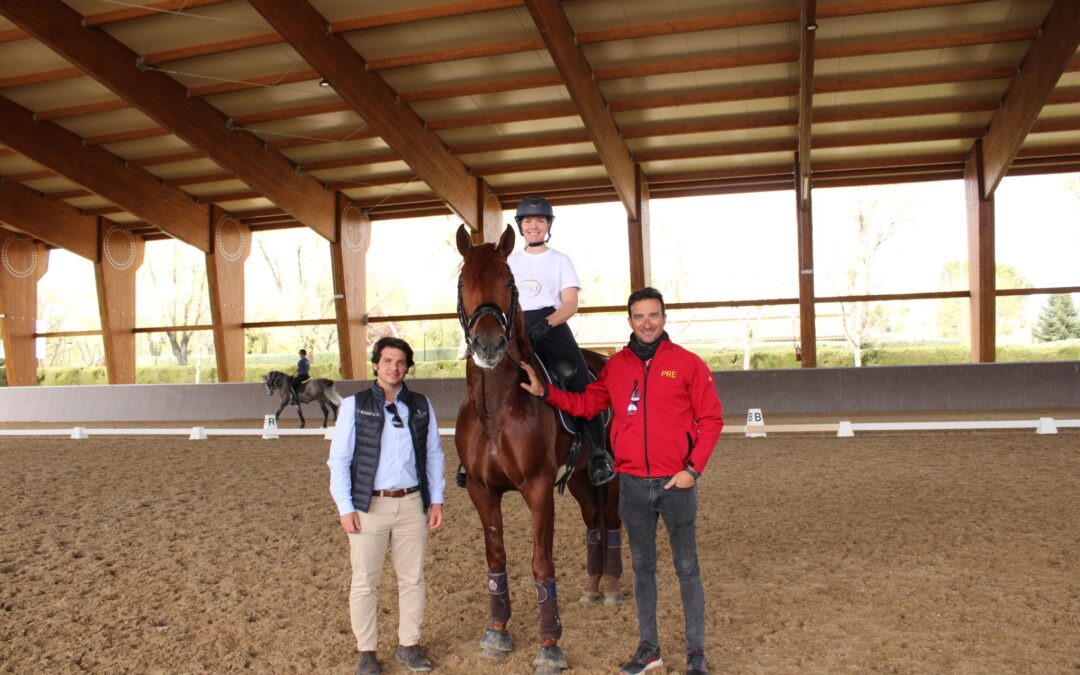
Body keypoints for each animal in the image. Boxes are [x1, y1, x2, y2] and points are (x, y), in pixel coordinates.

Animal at [455, 223, 626, 669]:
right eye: (463, 283)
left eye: (509, 282)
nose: (488, 346)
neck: (496, 406)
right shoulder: (482, 491)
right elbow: (496, 560)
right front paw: (497, 632)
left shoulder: (537, 488)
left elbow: (540, 563)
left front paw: (550, 646)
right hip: (580, 478)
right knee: (592, 522)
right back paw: (592, 586)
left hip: (611, 477)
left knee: (611, 520)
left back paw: (612, 588)